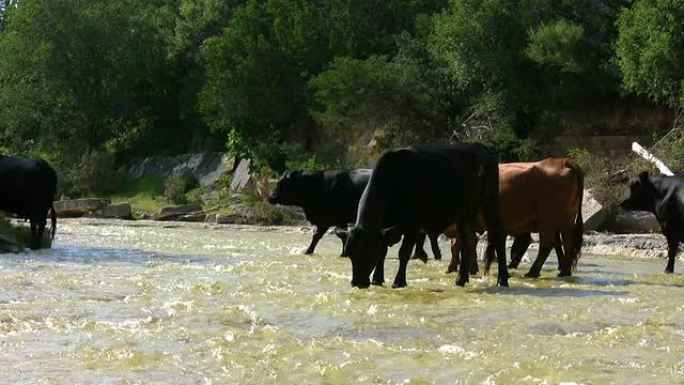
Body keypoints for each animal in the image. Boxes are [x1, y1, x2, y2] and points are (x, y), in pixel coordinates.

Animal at [336, 144, 508, 288]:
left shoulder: (412, 225)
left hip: (490, 205)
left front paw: (399, 281)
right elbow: (383, 251)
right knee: (467, 241)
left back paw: (502, 279)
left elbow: (403, 253)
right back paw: (461, 279)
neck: (395, 181)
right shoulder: (384, 229)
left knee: (498, 237)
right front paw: (378, 279)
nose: (358, 282)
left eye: (367, 252)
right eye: (350, 254)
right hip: (464, 214)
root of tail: (484, 149)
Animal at [446, 158, 584, 278]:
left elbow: (459, 245)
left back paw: (532, 272)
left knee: (547, 244)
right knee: (567, 243)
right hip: (566, 218)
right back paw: (564, 271)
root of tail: (562, 161)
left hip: (548, 219)